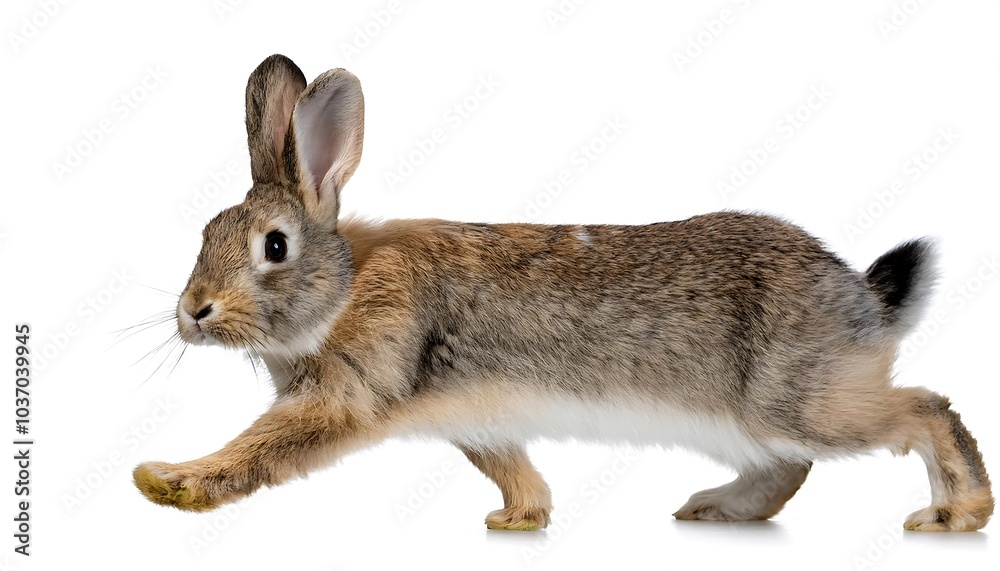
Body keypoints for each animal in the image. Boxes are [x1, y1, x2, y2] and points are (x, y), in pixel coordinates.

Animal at [133, 54, 993, 532]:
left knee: (921, 408)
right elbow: (509, 464)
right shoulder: (475, 415)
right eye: (205, 230)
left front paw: (169, 480)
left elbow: (261, 448)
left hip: (797, 400)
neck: (341, 289)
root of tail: (861, 301)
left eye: (273, 246)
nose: (193, 312)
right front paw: (521, 516)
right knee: (788, 468)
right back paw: (712, 508)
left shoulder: (350, 397)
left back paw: (956, 513)